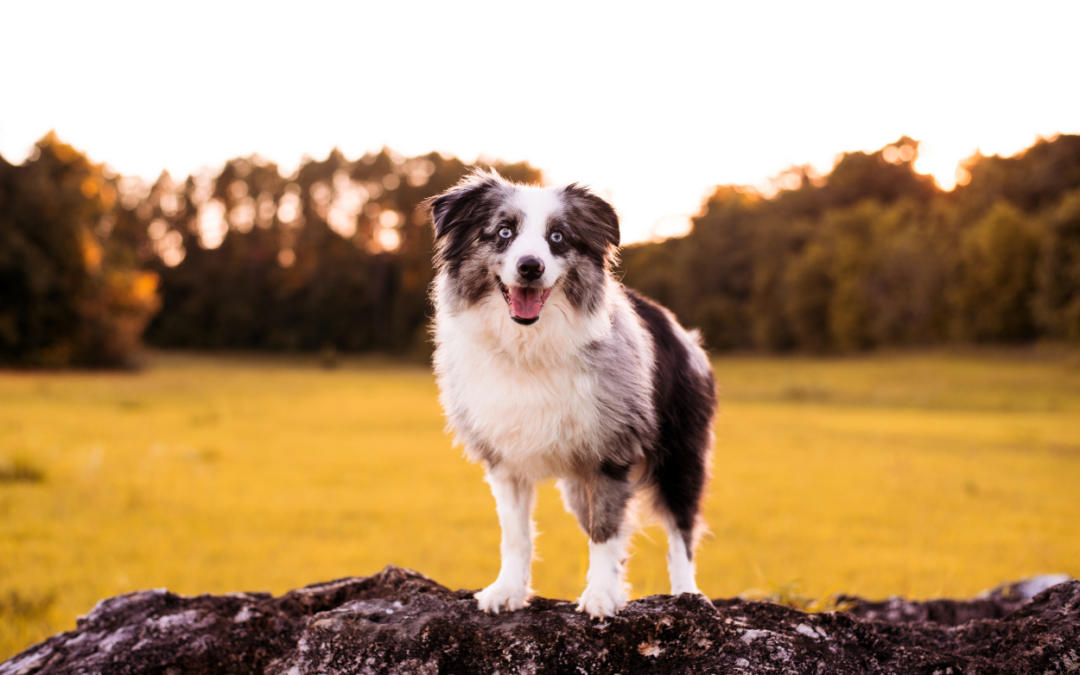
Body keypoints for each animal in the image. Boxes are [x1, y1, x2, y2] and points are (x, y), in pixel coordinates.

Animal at [427, 168, 717, 617]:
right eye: (503, 232)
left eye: (558, 237)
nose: (530, 267)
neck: (529, 345)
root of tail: (677, 326)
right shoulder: (504, 459)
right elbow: (516, 534)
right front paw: (507, 591)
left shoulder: (611, 454)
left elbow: (606, 532)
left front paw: (598, 597)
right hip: (578, 488)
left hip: (681, 455)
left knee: (681, 531)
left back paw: (688, 595)